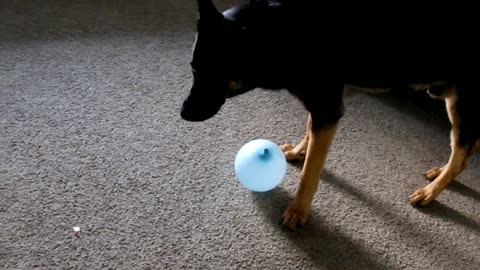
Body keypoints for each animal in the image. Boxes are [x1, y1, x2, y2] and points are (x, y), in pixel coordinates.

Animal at [180, 0, 480, 229]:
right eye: (193, 68)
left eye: (213, 74)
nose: (182, 114)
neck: (281, 33)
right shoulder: (321, 106)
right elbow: (308, 131)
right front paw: (299, 151)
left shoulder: (327, 109)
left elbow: (310, 172)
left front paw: (298, 210)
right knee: (465, 151)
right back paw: (441, 173)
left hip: (462, 104)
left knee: (461, 152)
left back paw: (432, 191)